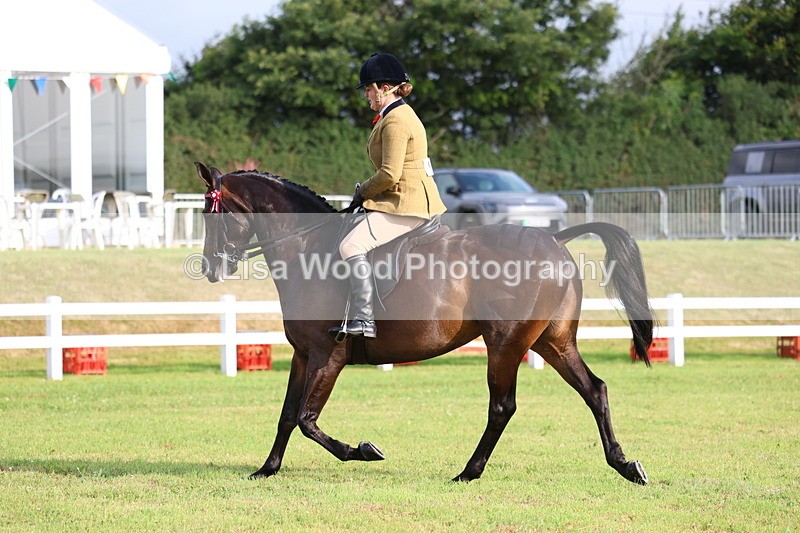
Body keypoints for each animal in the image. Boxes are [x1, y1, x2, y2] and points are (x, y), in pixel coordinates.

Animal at [194, 162, 655, 485]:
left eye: (210, 214)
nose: (210, 269)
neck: (308, 248)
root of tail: (554, 240)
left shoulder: (329, 355)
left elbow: (308, 420)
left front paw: (364, 450)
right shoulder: (303, 355)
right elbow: (288, 415)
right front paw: (267, 469)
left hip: (506, 343)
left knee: (502, 406)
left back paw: (469, 471)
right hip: (552, 342)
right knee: (594, 390)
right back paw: (625, 465)